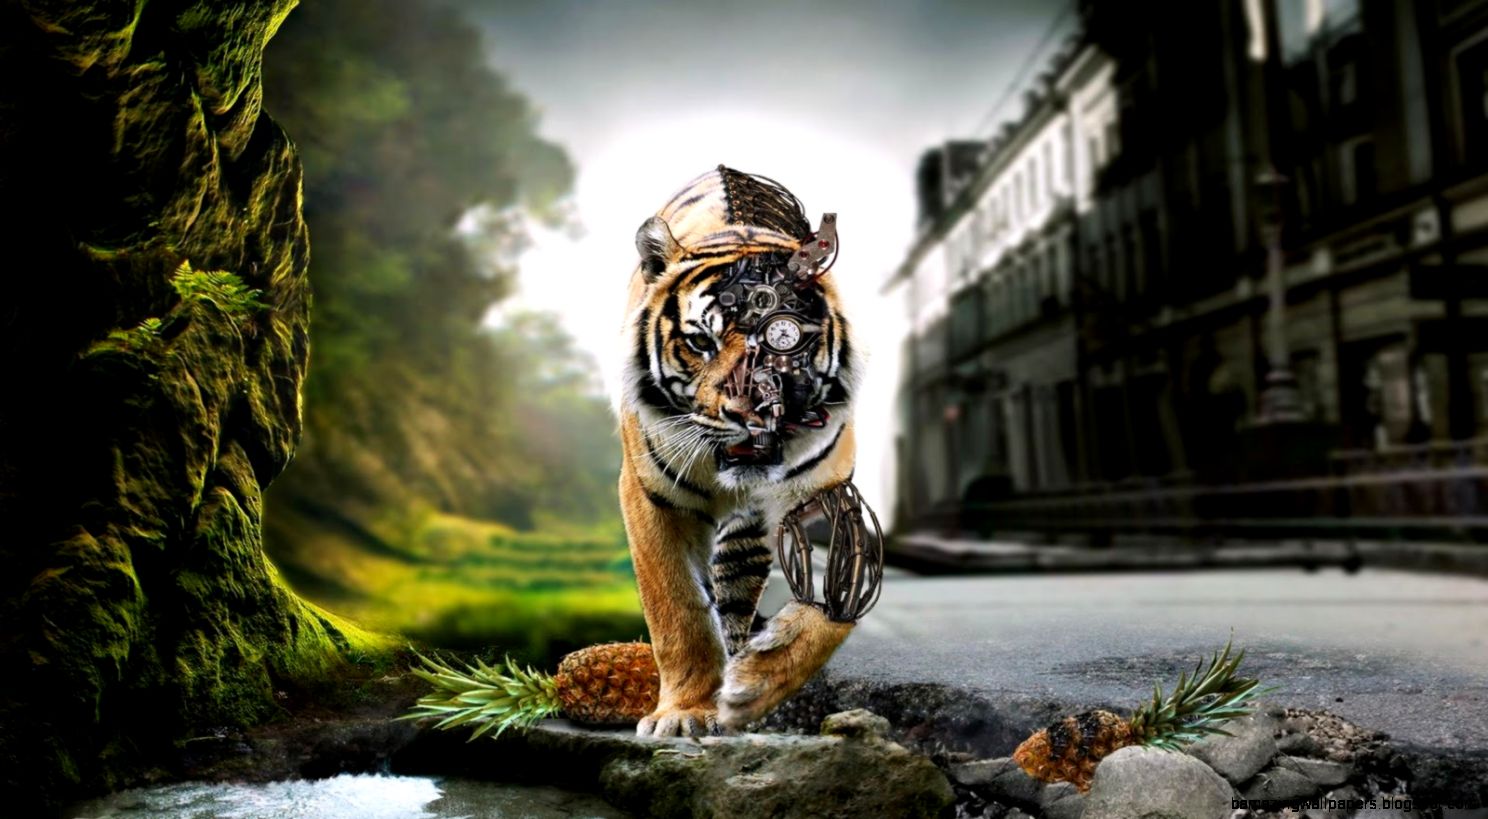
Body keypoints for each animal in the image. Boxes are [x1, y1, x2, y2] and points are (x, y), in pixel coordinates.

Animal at [615, 165, 865, 737]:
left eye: (782, 341)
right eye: (700, 343)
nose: (750, 412)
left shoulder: (829, 495)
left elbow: (830, 608)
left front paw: (753, 685)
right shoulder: (649, 497)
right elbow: (677, 609)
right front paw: (684, 711)